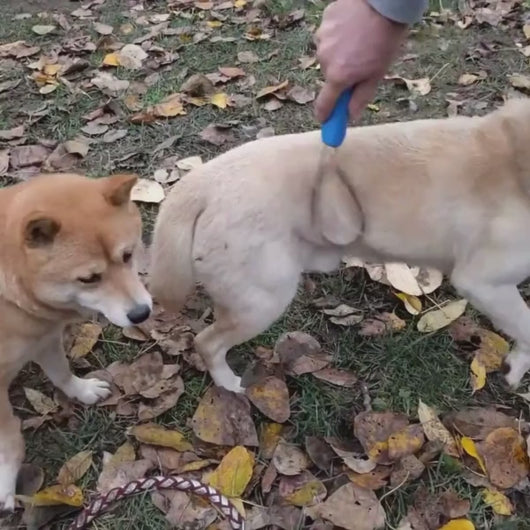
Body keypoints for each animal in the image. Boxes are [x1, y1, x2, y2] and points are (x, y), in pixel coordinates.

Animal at [0, 172, 152, 508]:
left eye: (127, 255)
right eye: (88, 279)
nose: (141, 314)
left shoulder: (43, 338)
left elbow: (61, 373)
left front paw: (82, 391)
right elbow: (8, 437)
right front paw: (5, 481)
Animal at [148, 98, 530, 392]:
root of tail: (204, 180)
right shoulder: (484, 283)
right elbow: (528, 326)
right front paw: (517, 368)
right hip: (262, 302)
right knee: (207, 342)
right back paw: (229, 385)